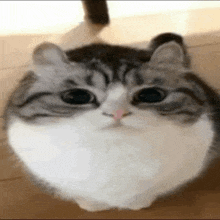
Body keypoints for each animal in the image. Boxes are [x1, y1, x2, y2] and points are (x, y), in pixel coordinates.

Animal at [3, 32, 220, 211]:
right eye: (77, 97)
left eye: (152, 95)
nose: (117, 112)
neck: (114, 151)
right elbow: (83, 195)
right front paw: (91, 205)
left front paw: (139, 203)